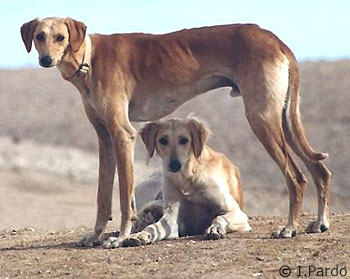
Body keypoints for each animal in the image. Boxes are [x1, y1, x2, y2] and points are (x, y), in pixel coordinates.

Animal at [121, 118, 250, 247]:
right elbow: (153, 227)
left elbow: (220, 218)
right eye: (163, 140)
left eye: (184, 140)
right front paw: (141, 235)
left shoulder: (237, 212)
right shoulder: (172, 217)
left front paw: (215, 228)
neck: (188, 177)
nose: (175, 165)